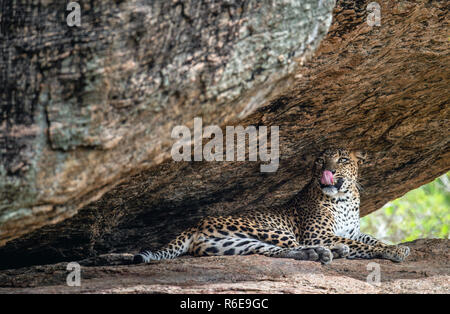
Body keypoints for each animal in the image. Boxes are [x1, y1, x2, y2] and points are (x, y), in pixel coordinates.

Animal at [132, 148, 410, 264]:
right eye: (320, 161)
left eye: (342, 160)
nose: (328, 170)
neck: (344, 198)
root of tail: (196, 223)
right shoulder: (318, 233)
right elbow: (363, 245)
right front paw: (395, 251)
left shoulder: (352, 231)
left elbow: (370, 240)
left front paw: (394, 247)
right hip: (267, 229)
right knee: (294, 245)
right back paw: (329, 252)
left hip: (234, 244)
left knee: (273, 251)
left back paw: (320, 254)